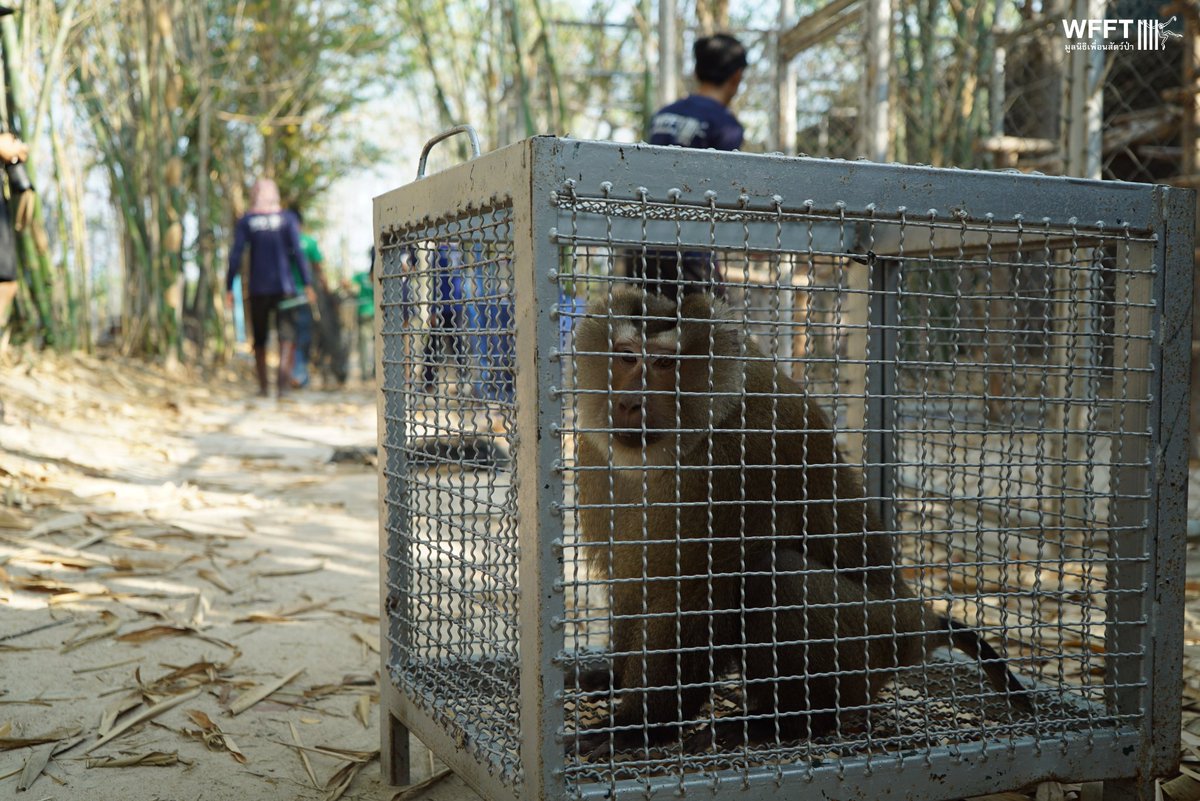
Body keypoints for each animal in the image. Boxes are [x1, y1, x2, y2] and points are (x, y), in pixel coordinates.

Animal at [569, 288, 1030, 757]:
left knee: (774, 573)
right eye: (626, 356)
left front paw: (638, 724)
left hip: (870, 640)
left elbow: (699, 596)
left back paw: (785, 721)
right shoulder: (595, 453)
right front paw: (614, 677)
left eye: (664, 363)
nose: (629, 402)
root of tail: (914, 620)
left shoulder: (738, 461)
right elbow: (631, 582)